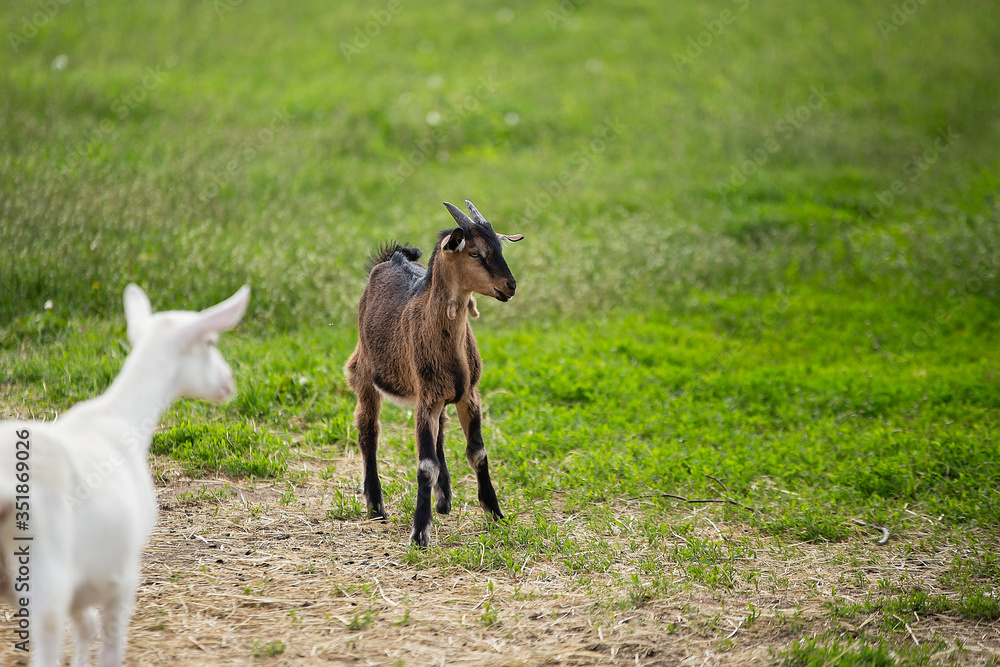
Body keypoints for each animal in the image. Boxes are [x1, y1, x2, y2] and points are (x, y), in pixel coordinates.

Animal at [0, 284, 250, 664]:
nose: (229, 382)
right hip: (46, 571)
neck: (121, 415)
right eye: (210, 342)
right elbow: (109, 644)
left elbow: (85, 626)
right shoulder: (122, 575)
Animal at [346, 201, 524, 544]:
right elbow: (425, 465)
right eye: (475, 253)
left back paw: (443, 499)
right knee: (368, 430)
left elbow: (478, 453)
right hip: (364, 374)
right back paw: (376, 505)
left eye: (499, 247)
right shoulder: (424, 398)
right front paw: (419, 532)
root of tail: (392, 258)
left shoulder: (468, 394)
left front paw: (495, 513)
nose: (510, 286)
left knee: (440, 430)